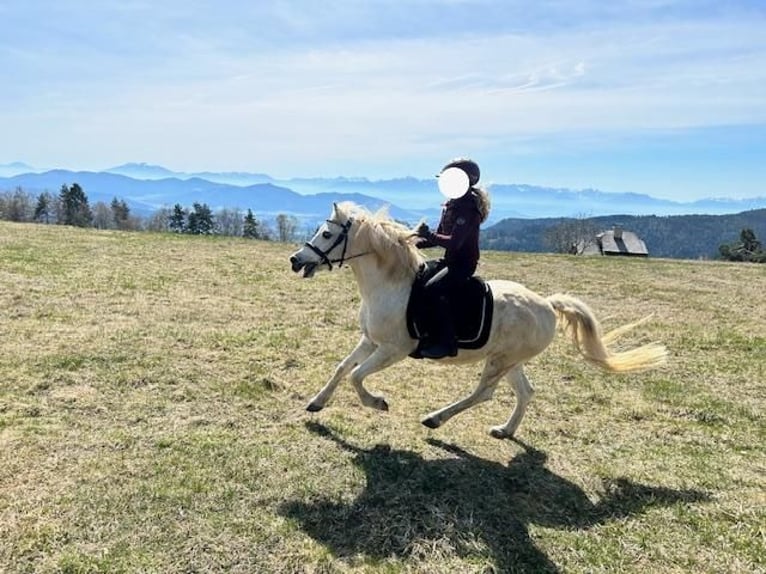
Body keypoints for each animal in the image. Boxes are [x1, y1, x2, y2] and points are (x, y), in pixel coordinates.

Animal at [292, 204, 668, 440]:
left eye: (327, 235)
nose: (295, 260)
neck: (390, 285)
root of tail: (547, 305)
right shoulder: (370, 340)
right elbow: (342, 368)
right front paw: (316, 403)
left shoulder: (393, 349)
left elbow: (356, 376)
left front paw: (378, 402)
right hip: (510, 360)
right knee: (525, 392)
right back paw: (505, 431)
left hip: (500, 361)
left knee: (483, 393)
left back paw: (434, 419)